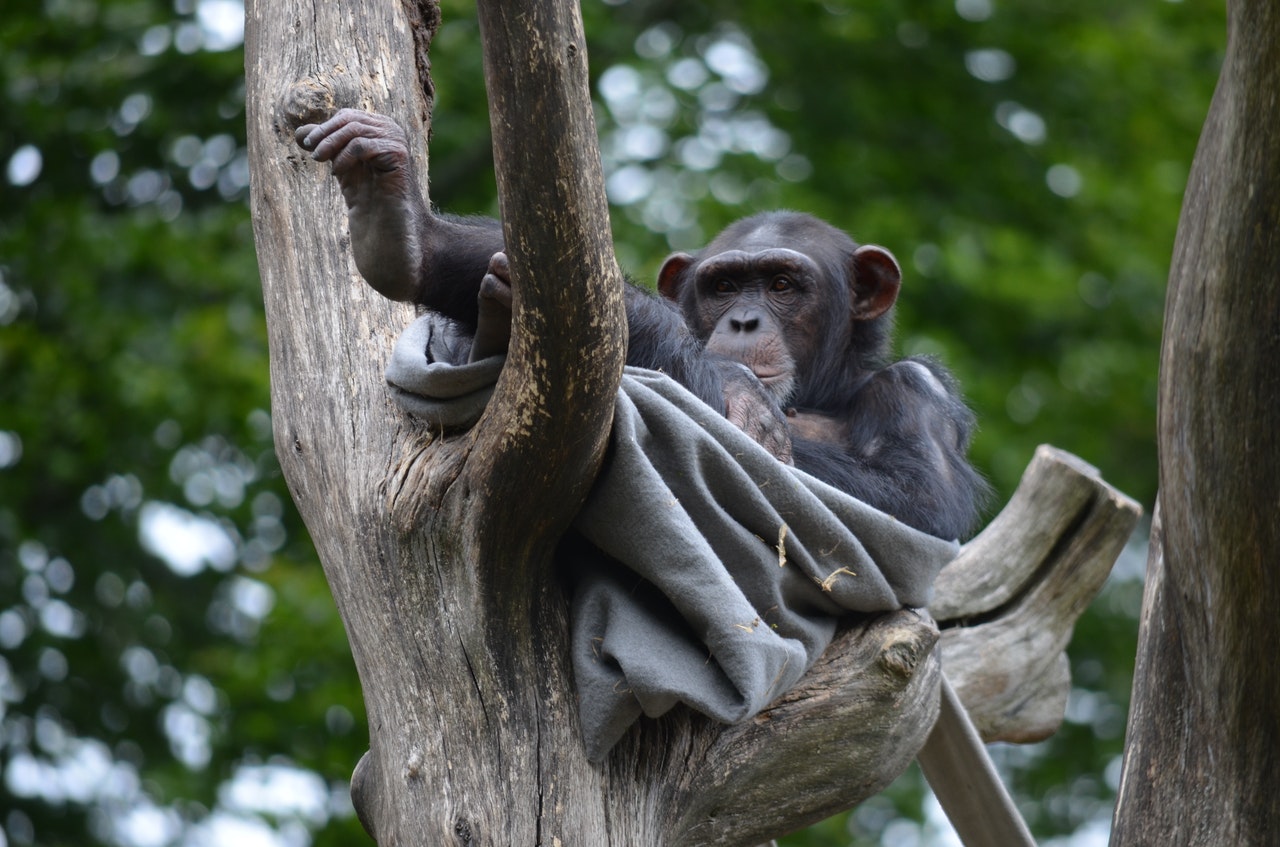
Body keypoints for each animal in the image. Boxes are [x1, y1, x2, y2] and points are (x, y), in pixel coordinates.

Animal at [294, 109, 983, 539]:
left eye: (783, 285)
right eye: (724, 286)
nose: (744, 319)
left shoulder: (917, 392)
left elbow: (912, 497)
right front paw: (414, 234)